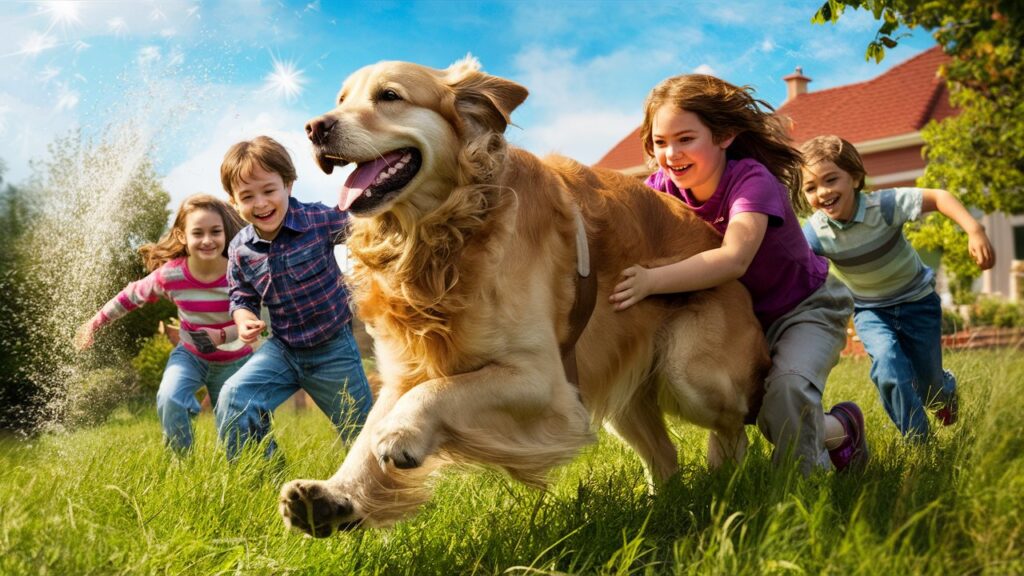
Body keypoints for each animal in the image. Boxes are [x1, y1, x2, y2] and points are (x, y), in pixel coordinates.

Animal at [280, 58, 770, 532]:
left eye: (389, 96)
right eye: (341, 100)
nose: (314, 128)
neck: (447, 234)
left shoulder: (543, 382)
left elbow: (440, 391)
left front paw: (402, 433)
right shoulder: (408, 365)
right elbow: (370, 430)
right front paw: (336, 497)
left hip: (690, 373)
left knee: (737, 425)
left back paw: (728, 478)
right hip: (626, 393)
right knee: (666, 455)